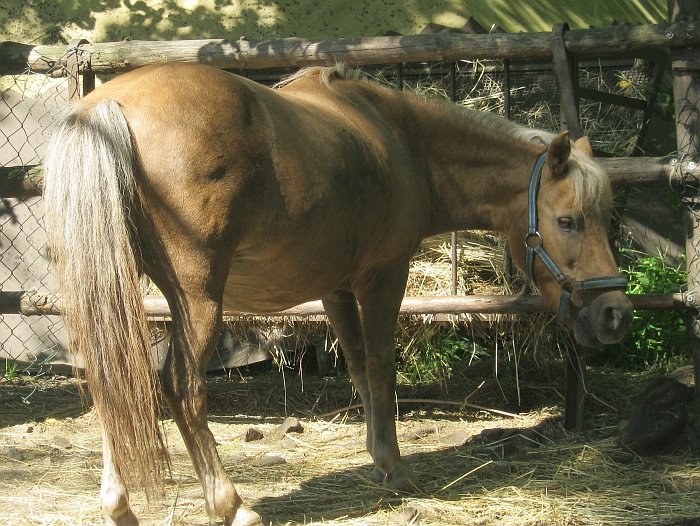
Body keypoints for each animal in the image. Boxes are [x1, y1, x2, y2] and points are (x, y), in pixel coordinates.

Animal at [43, 62, 633, 525]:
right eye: (568, 220)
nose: (615, 314)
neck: (401, 140)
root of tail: (105, 109)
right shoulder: (384, 278)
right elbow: (381, 367)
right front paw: (396, 468)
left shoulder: (335, 290)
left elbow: (356, 367)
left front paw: (377, 455)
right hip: (197, 299)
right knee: (180, 388)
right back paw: (232, 505)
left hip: (115, 293)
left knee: (115, 380)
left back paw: (118, 506)